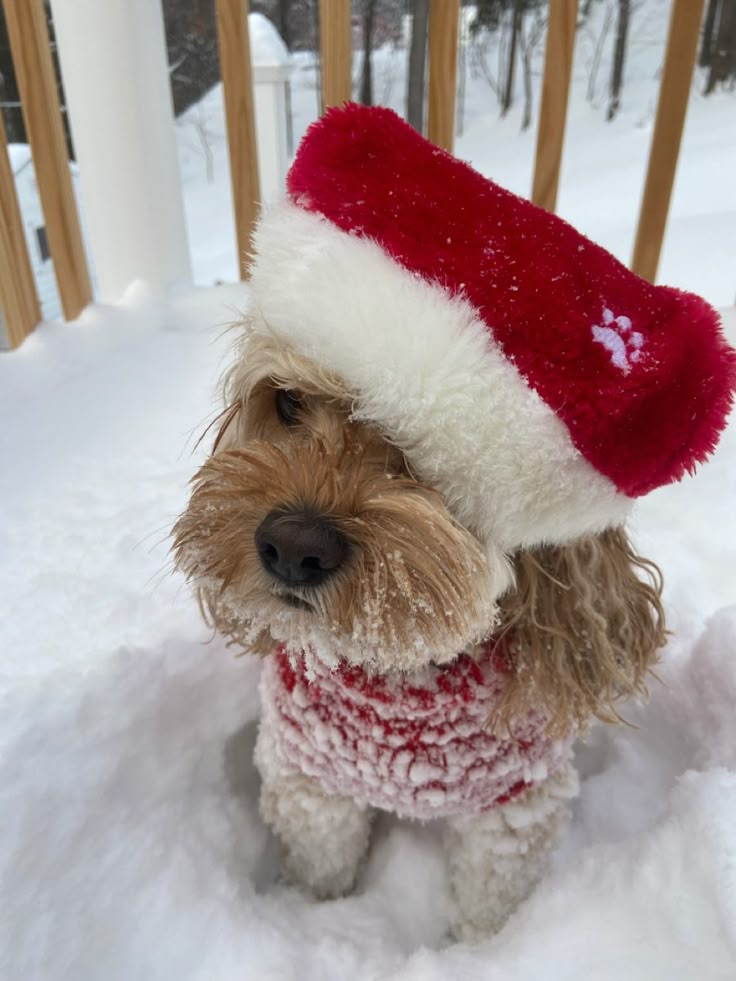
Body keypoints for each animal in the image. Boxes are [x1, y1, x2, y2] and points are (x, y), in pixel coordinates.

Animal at [171, 103, 736, 936]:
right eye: (287, 402)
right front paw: (316, 919)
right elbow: (322, 865)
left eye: (425, 462)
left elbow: (489, 905)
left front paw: (477, 950)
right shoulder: (308, 777)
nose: (291, 546)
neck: (399, 678)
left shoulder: (514, 808)